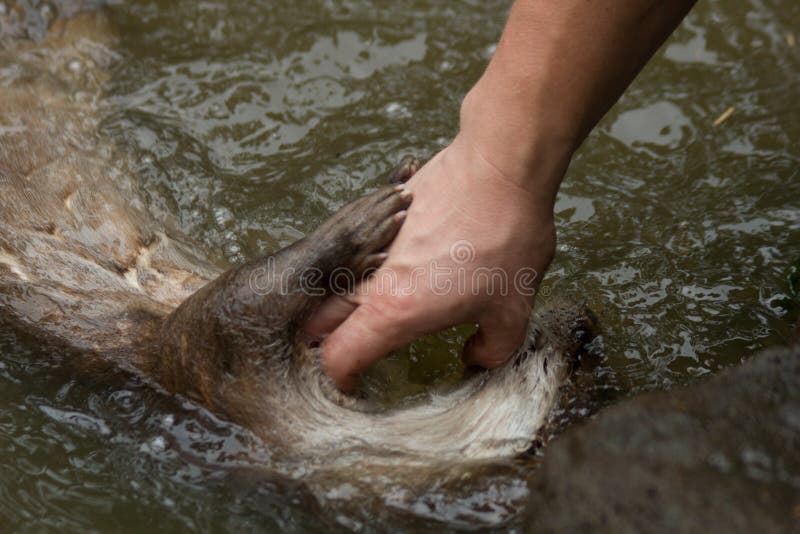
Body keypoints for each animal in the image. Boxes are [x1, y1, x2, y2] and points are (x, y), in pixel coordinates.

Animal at [0, 5, 594, 480]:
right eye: (560, 366)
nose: (584, 322)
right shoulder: (221, 357)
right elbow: (253, 287)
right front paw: (375, 202)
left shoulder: (222, 360)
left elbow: (247, 292)